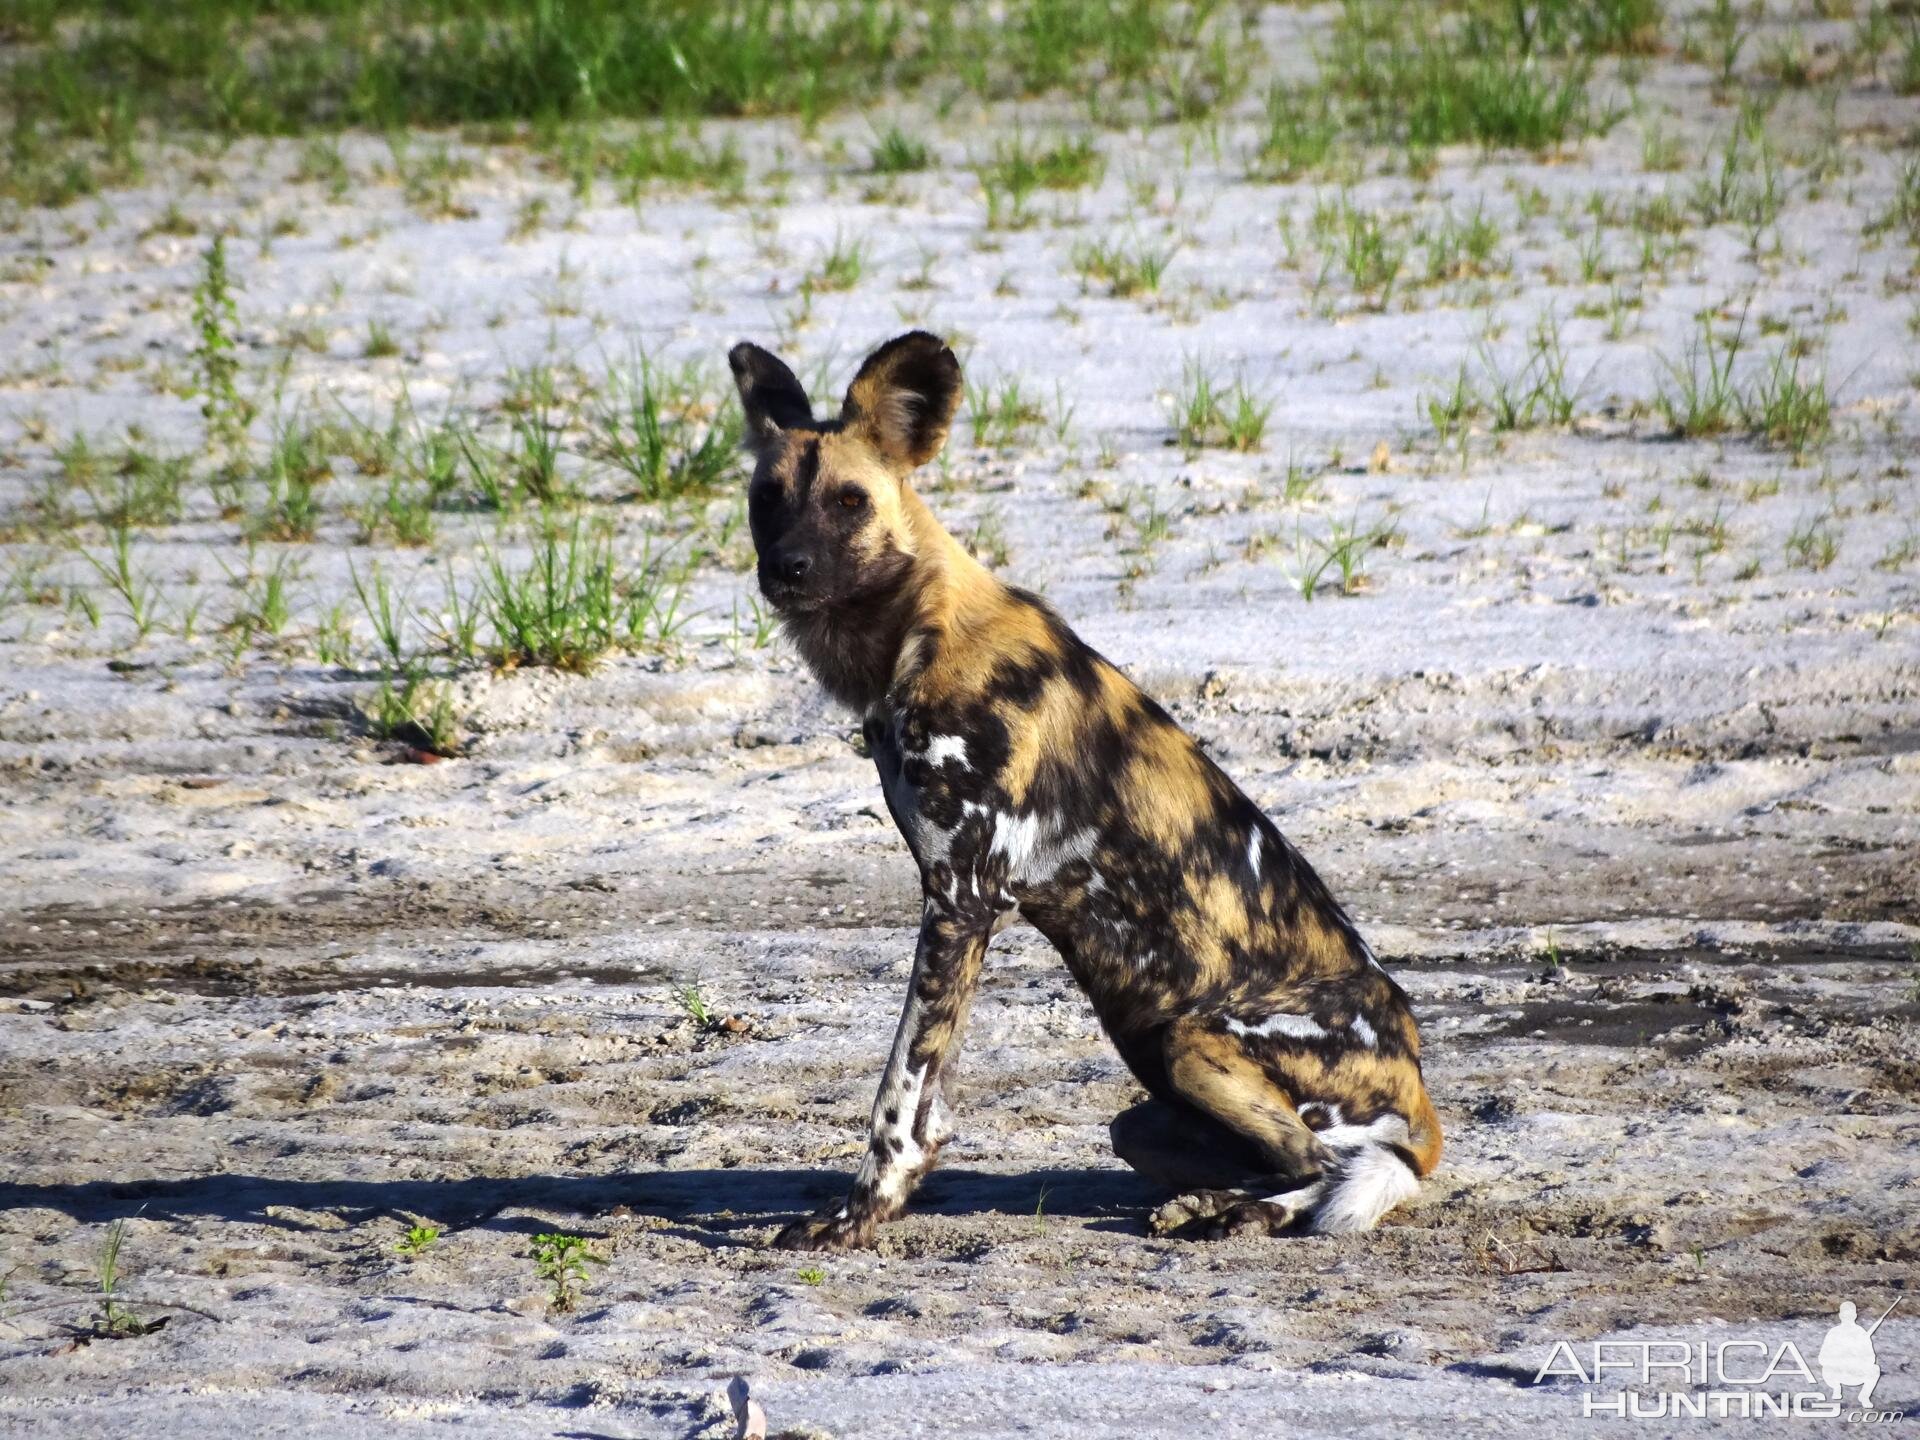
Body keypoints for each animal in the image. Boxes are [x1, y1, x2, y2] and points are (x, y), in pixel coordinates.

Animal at [733, 330, 1443, 1251]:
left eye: (850, 502)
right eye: (767, 499)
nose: (787, 567)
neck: (914, 637)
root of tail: (1422, 1099)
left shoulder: (961, 901)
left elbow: (898, 1095)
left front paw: (862, 1212)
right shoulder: (960, 912)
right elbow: (932, 1106)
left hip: (1192, 1041)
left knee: (1325, 1166)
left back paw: (1234, 1214)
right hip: (1142, 1112)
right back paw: (1210, 1203)